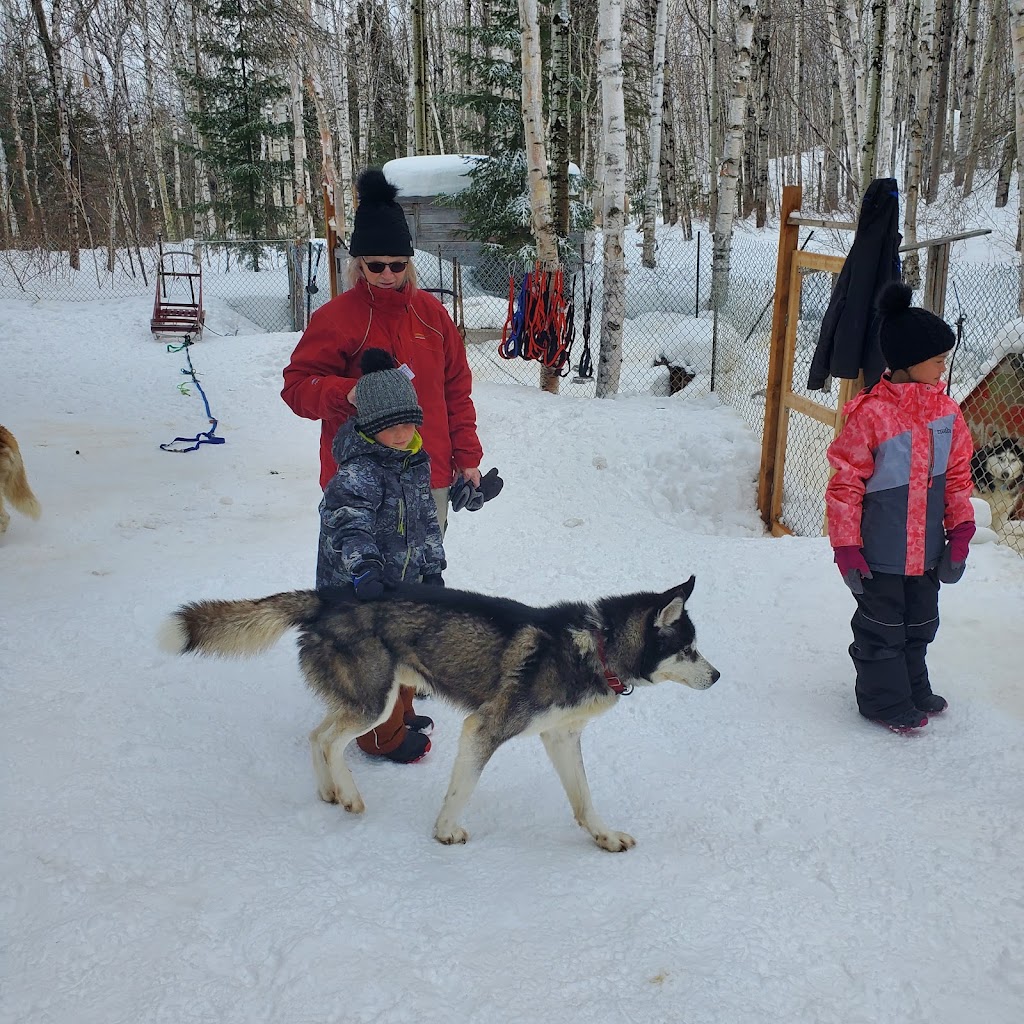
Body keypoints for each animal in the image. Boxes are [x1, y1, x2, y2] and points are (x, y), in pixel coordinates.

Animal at [161, 581, 720, 851]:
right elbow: (462, 790)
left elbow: (584, 802)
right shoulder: (484, 729)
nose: (717, 676)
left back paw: (330, 792)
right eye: (689, 650)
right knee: (330, 740)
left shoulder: (560, 738)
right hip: (377, 703)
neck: (595, 646)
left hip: (362, 700)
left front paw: (604, 837)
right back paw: (351, 797)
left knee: (316, 735)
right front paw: (446, 832)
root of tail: (329, 597)